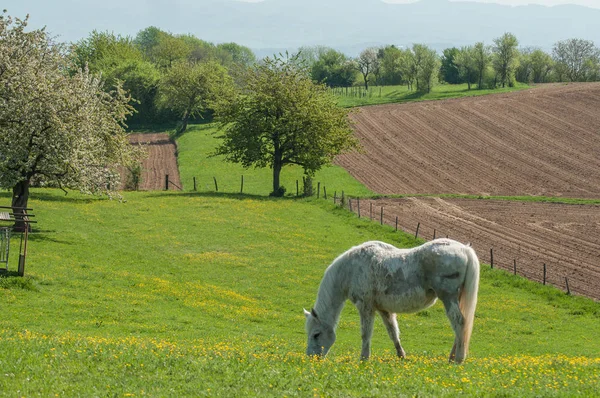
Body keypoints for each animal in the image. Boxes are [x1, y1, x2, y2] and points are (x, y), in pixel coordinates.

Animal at [302, 238, 480, 366]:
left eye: (316, 334)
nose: (311, 358)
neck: (351, 269)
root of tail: (464, 249)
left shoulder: (365, 307)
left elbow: (366, 334)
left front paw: (363, 359)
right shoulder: (383, 309)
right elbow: (393, 332)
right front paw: (401, 356)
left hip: (448, 298)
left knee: (459, 322)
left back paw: (458, 359)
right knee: (461, 327)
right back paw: (452, 357)